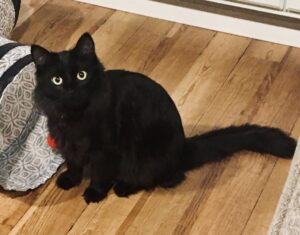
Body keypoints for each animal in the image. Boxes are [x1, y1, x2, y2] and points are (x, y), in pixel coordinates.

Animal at [30, 33, 296, 204]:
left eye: (82, 75)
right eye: (57, 80)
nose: (70, 90)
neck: (75, 119)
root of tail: (183, 147)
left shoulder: (106, 150)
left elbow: (100, 174)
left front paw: (94, 193)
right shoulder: (68, 143)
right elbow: (74, 164)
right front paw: (69, 180)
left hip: (145, 156)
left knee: (164, 178)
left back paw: (123, 187)